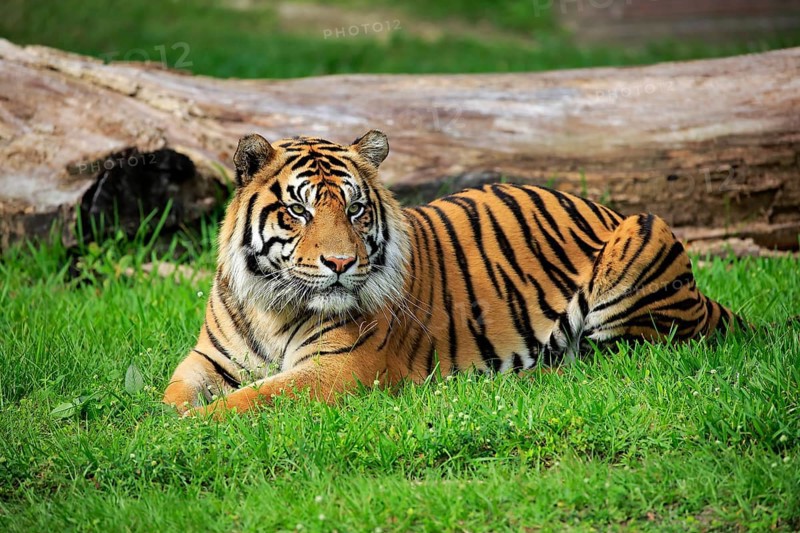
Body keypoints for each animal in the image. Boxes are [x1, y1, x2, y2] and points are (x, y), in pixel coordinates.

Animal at [163, 130, 742, 417]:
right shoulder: (206, 359)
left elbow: (253, 399)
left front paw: (192, 427)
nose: (341, 264)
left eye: (355, 209)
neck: (272, 306)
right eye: (299, 211)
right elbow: (173, 393)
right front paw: (164, 421)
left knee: (609, 362)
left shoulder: (337, 369)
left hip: (644, 233)